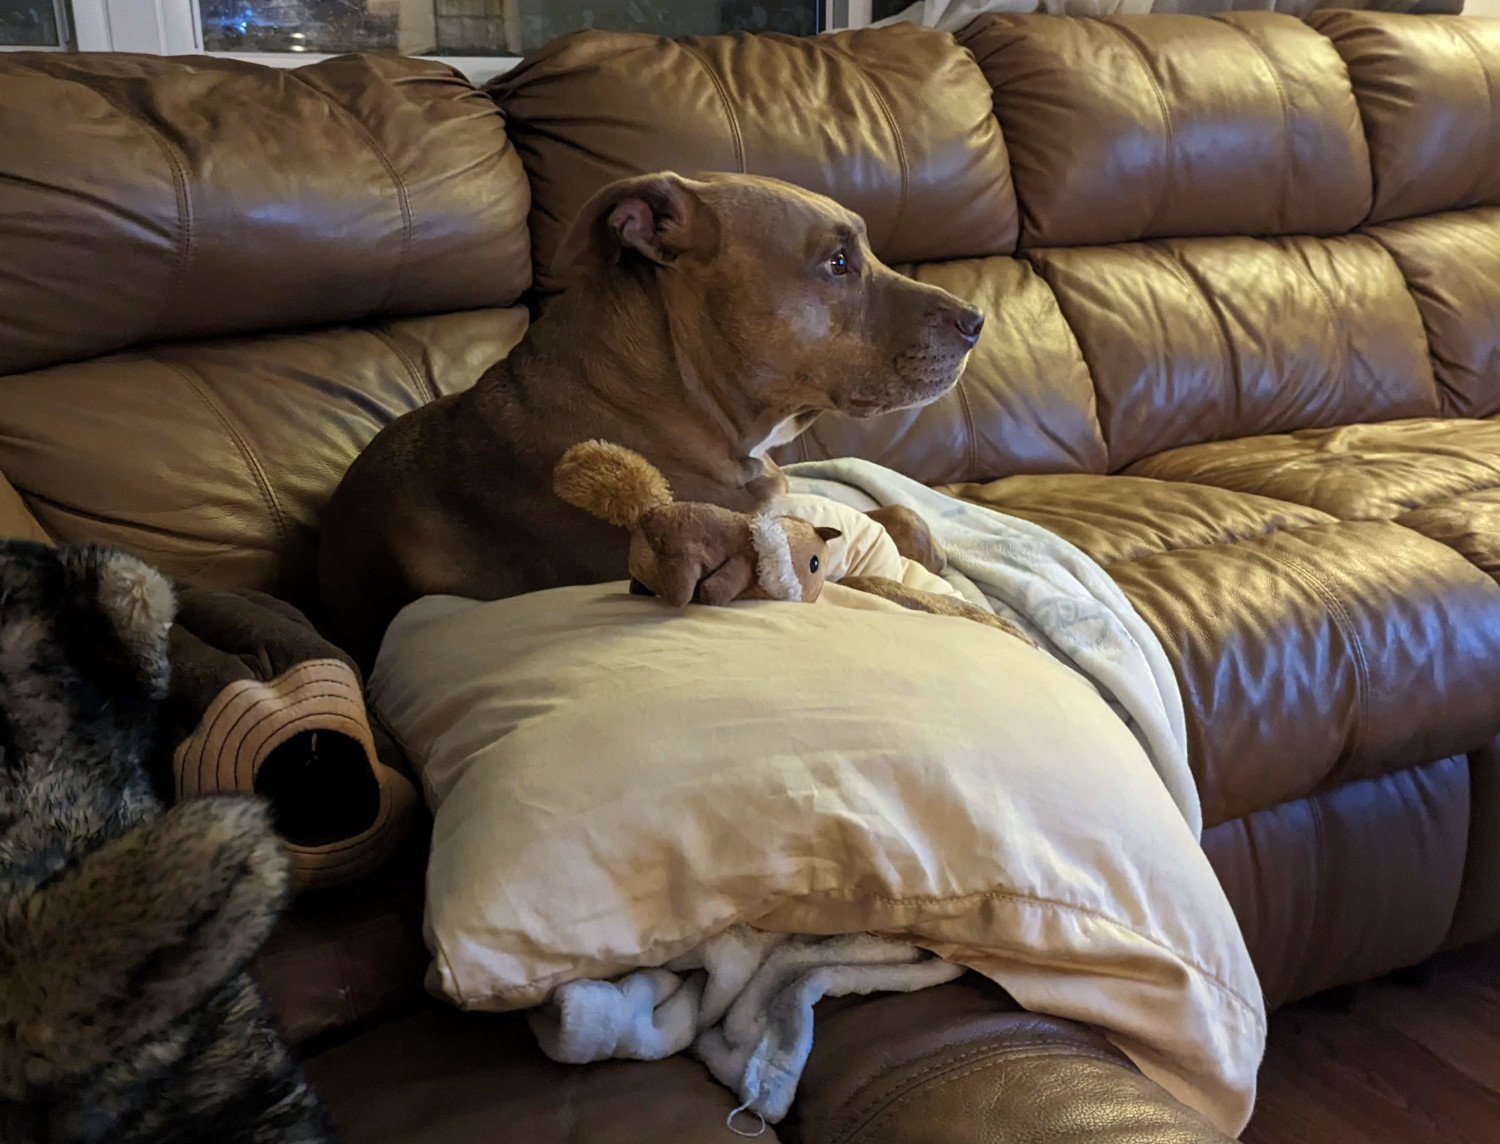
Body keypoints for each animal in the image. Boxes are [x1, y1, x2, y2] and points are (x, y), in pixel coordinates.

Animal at [316, 166, 984, 656]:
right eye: (837, 262)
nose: (976, 320)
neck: (682, 401)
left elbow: (888, 512)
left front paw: (928, 547)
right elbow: (879, 580)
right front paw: (961, 606)